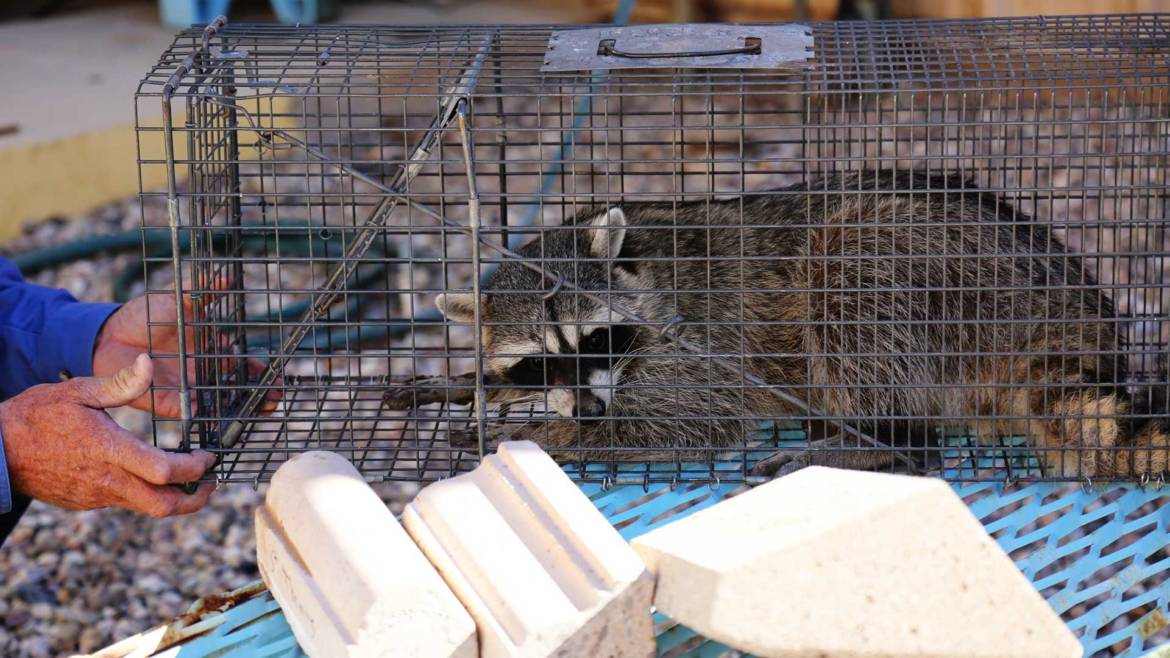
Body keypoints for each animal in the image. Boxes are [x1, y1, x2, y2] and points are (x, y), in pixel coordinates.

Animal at [435, 170, 1170, 479]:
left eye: (595, 338)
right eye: (538, 359)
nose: (587, 410)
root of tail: (1070, 312)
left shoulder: (700, 335)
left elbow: (690, 424)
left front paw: (542, 434)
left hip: (943, 279)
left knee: (847, 270)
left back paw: (877, 441)